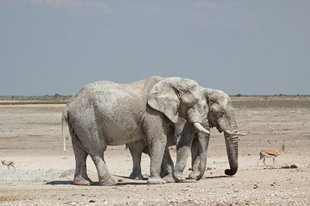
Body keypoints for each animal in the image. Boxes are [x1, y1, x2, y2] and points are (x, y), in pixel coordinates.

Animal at [61, 76, 209, 186]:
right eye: (194, 103)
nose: (186, 179)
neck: (169, 82)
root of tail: (68, 105)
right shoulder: (152, 113)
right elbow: (159, 140)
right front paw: (158, 182)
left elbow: (159, 141)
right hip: (88, 121)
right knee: (97, 149)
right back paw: (110, 183)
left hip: (78, 122)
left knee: (80, 150)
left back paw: (83, 182)